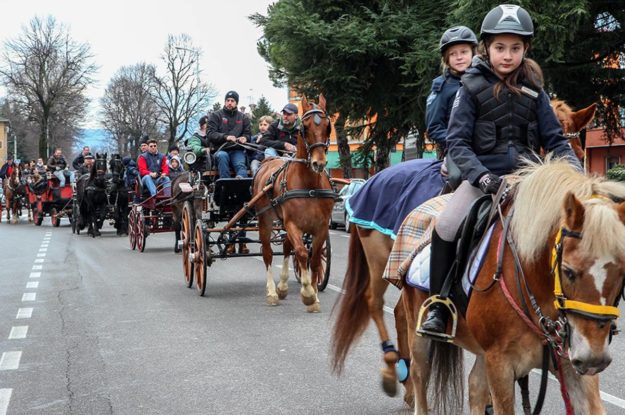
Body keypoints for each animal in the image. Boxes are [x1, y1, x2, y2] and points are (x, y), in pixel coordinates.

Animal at [250, 94, 334, 314]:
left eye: (328, 126)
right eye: (304, 127)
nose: (319, 163)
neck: (309, 185)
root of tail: (269, 160)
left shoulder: (321, 226)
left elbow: (314, 258)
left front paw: (314, 298)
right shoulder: (293, 224)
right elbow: (303, 253)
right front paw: (307, 293)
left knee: (287, 247)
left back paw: (282, 286)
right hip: (266, 220)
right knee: (268, 253)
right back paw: (272, 292)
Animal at [330, 101, 596, 410]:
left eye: (579, 154)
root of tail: (369, 181)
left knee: (399, 315)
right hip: (378, 258)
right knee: (375, 304)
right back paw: (393, 370)